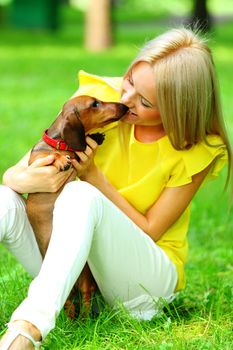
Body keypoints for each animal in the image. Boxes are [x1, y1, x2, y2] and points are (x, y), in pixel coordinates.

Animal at [26, 95, 128, 314]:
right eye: (95, 104)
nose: (124, 106)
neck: (63, 145)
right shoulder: (36, 162)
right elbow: (48, 156)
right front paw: (60, 160)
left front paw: (95, 137)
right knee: (70, 304)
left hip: (85, 277)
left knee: (85, 297)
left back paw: (85, 319)